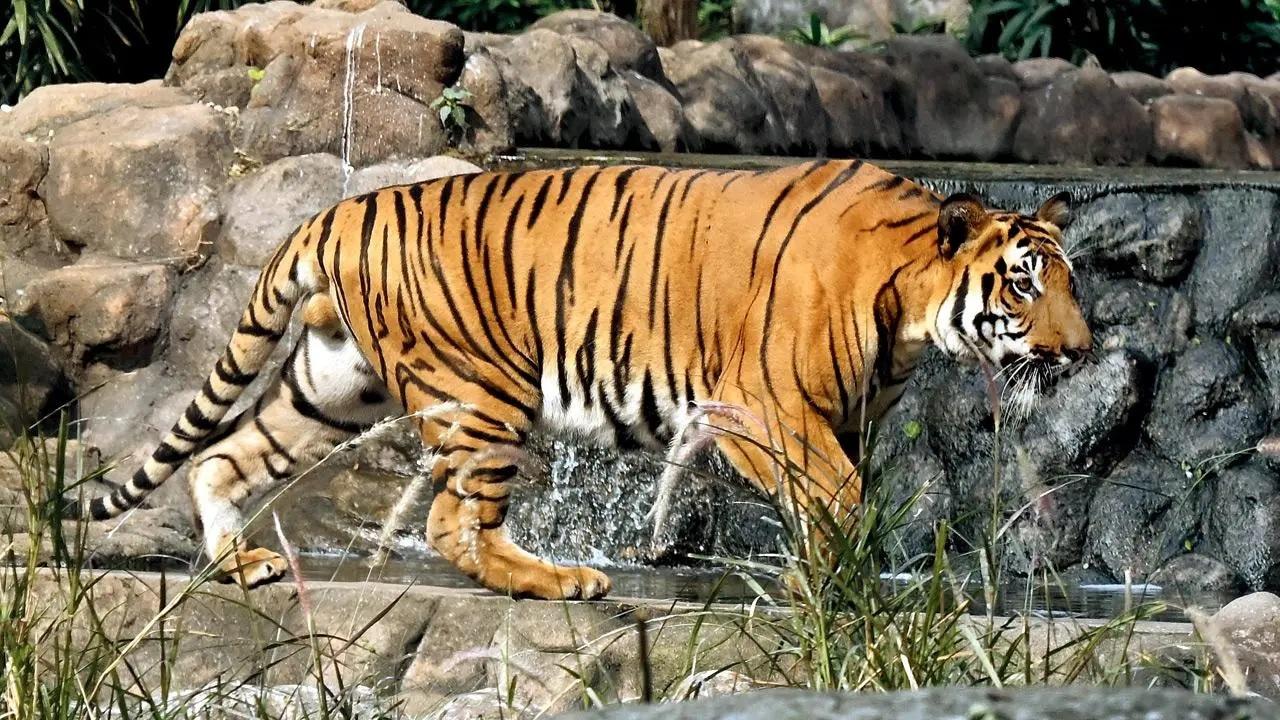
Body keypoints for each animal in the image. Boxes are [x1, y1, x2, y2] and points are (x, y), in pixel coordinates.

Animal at [74, 159, 1092, 600]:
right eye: (1024, 283)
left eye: (1072, 282)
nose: (1082, 351)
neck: (911, 313)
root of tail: (337, 212)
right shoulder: (762, 409)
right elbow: (837, 495)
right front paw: (837, 589)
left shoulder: (837, 420)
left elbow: (839, 496)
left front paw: (832, 578)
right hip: (484, 392)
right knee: (454, 524)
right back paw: (561, 580)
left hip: (335, 386)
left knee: (223, 458)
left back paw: (239, 563)